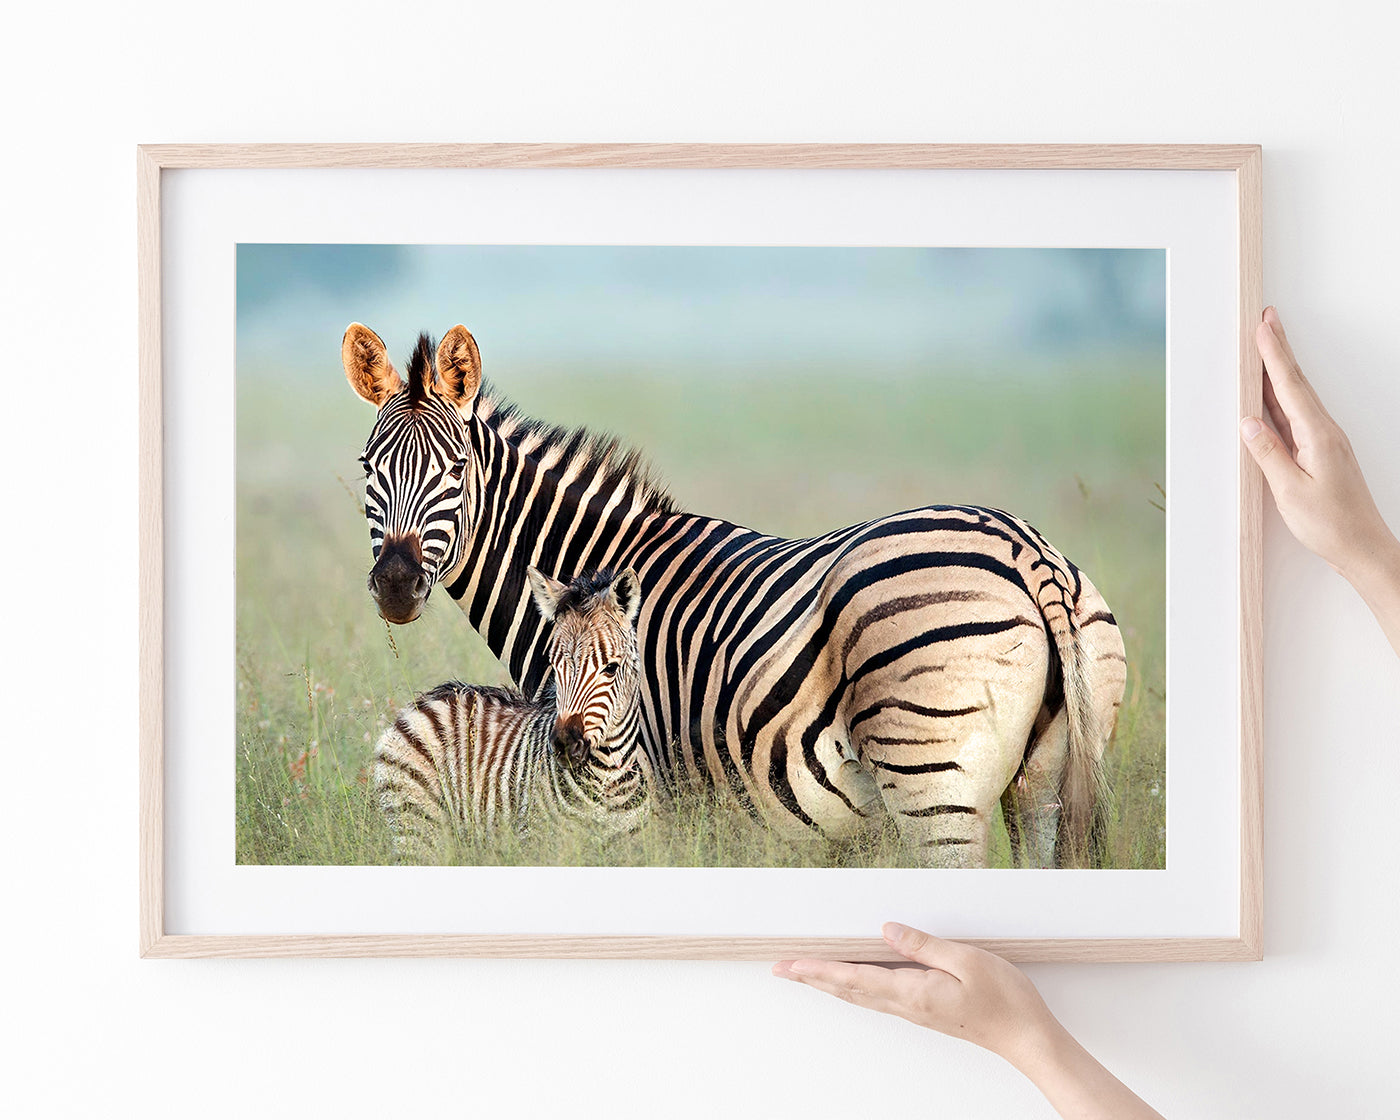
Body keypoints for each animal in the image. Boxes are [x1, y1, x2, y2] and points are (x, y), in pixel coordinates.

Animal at [372, 566, 651, 859]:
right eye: (554, 665)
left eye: (611, 668)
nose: (564, 744)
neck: (608, 777)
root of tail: (427, 699)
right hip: (416, 827)